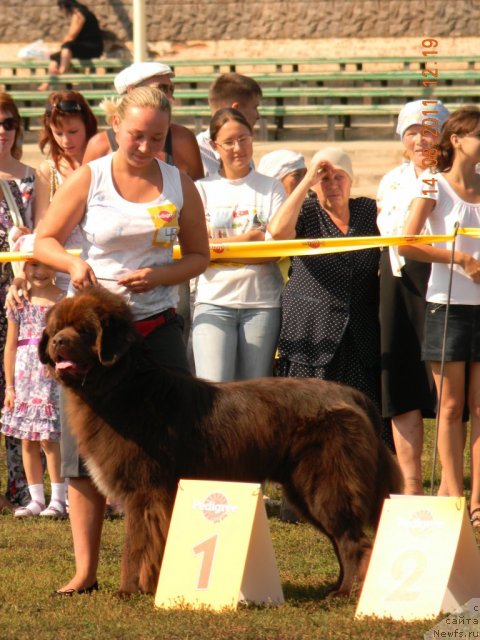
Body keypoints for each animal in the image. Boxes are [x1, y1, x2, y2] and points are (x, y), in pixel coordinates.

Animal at [40, 288, 402, 596]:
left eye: (85, 331)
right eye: (57, 328)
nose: (58, 341)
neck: (123, 387)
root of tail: (353, 396)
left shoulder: (144, 490)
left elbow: (136, 545)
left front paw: (128, 591)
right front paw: (149, 587)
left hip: (325, 483)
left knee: (354, 541)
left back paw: (344, 593)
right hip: (305, 491)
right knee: (343, 540)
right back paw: (335, 588)